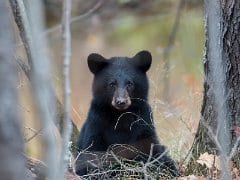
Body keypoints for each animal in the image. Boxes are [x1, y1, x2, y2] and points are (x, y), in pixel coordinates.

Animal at [75, 51, 178, 179]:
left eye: (130, 83)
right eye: (112, 84)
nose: (121, 102)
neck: (120, 115)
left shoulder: (143, 120)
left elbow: (149, 147)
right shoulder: (97, 121)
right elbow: (92, 150)